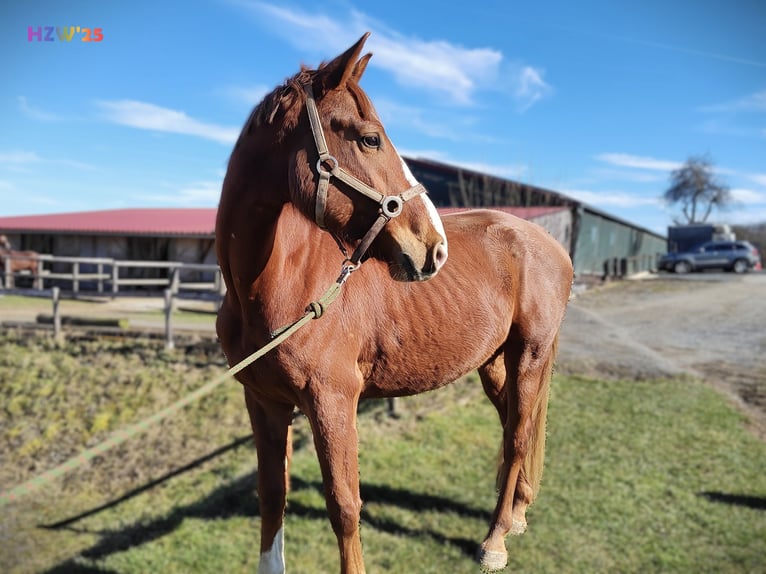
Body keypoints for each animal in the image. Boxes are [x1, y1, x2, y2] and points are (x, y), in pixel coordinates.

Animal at [213, 32, 572, 574]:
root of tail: (551, 245)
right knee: (517, 426)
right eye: (369, 139)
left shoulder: (333, 402)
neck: (275, 284)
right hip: (496, 363)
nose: (434, 248)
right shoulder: (265, 403)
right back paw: (517, 514)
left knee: (515, 439)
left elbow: (344, 505)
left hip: (529, 356)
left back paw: (495, 541)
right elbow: (272, 496)